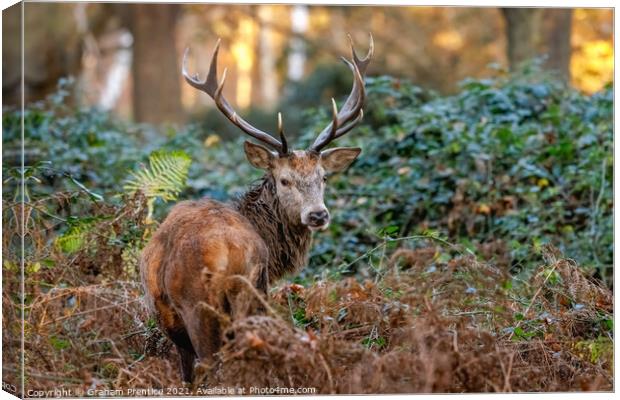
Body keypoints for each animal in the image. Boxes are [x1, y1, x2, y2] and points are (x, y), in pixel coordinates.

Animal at [140, 35, 372, 384]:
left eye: (323, 177)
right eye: (284, 180)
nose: (318, 215)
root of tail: (226, 253)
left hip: (208, 305)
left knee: (213, 361)